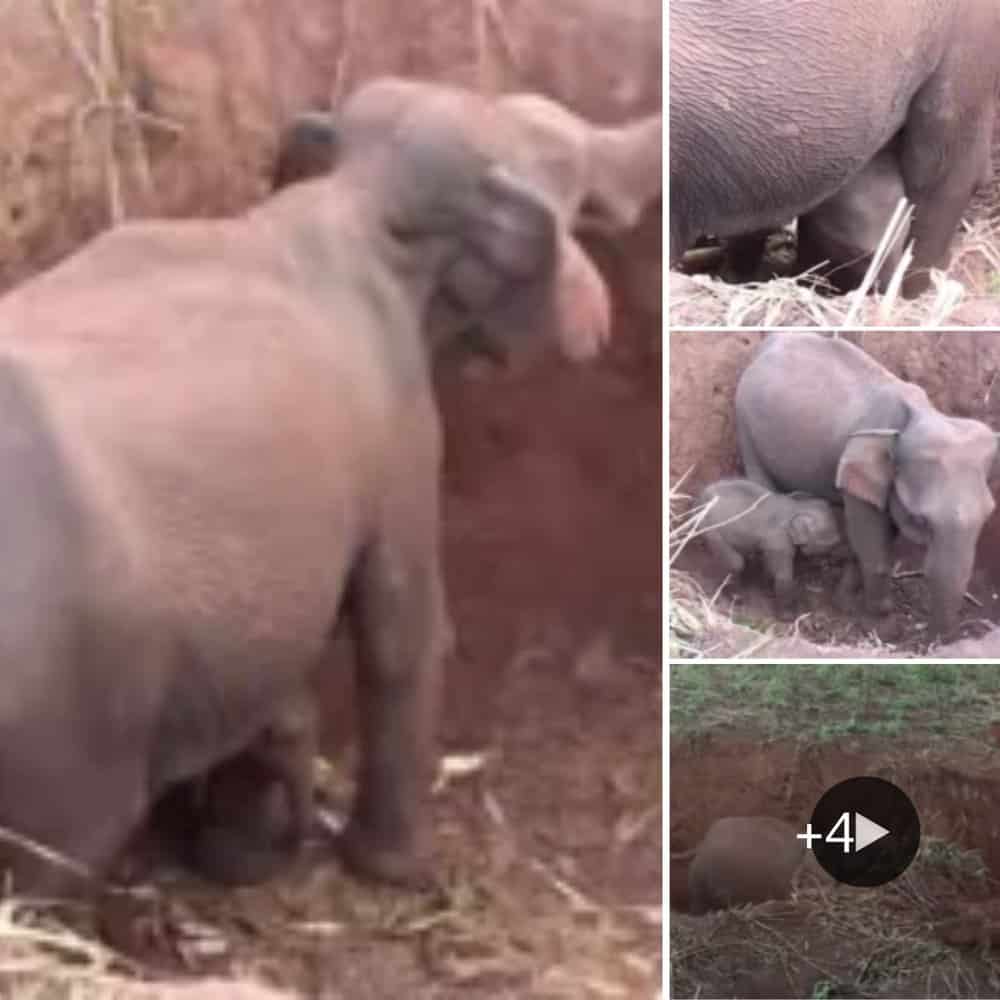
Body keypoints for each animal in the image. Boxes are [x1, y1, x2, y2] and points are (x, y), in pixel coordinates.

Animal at [0, 75, 595, 898]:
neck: (346, 205)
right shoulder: (400, 431)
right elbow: (401, 623)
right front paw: (395, 869)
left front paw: (237, 850)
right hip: (59, 738)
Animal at [697, 478, 842, 618]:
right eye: (832, 543)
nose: (834, 561)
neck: (795, 508)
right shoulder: (780, 540)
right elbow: (783, 576)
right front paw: (788, 617)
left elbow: (769, 564)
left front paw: (768, 590)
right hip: (711, 528)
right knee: (735, 563)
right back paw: (736, 597)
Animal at [735, 332, 1000, 639]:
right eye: (920, 520)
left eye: (987, 517)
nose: (937, 641)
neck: (919, 415)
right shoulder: (856, 474)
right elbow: (872, 547)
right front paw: (884, 624)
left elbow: (867, 540)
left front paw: (845, 603)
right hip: (745, 422)